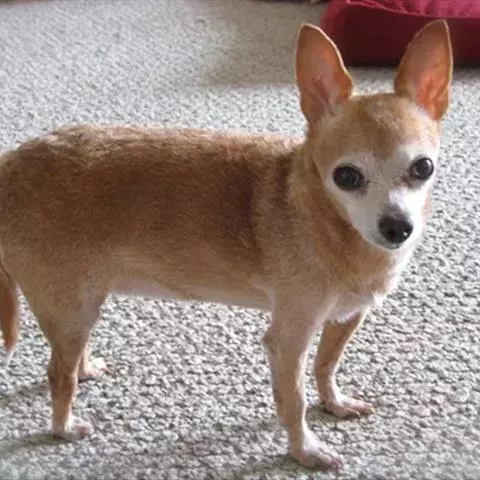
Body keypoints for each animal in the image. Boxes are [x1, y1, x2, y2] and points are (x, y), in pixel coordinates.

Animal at [0, 20, 452, 470]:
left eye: (423, 168)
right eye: (347, 177)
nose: (397, 227)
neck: (331, 224)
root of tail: (11, 163)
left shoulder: (345, 317)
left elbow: (327, 365)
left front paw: (334, 403)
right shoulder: (289, 340)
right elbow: (294, 400)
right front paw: (304, 450)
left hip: (83, 304)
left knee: (70, 359)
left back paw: (86, 367)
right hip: (71, 309)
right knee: (58, 374)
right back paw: (63, 426)